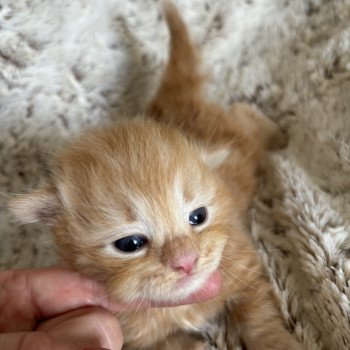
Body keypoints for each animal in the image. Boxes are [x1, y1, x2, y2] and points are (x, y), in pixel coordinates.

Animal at [10, 2, 300, 350]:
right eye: (130, 243)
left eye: (198, 216)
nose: (186, 261)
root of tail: (170, 106)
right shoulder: (132, 333)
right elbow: (167, 341)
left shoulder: (244, 264)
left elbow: (259, 319)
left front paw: (278, 341)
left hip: (243, 145)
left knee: (245, 116)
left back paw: (279, 135)